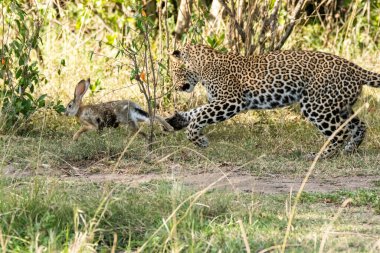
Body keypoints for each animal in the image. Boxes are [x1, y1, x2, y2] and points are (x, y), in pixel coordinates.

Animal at [166, 43, 380, 158]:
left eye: (175, 72)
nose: (176, 86)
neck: (201, 66)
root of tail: (355, 68)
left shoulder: (231, 101)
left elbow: (200, 115)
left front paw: (198, 140)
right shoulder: (219, 102)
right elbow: (196, 112)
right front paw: (175, 120)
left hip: (316, 106)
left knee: (340, 131)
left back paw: (320, 156)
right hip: (339, 105)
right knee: (359, 125)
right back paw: (349, 150)